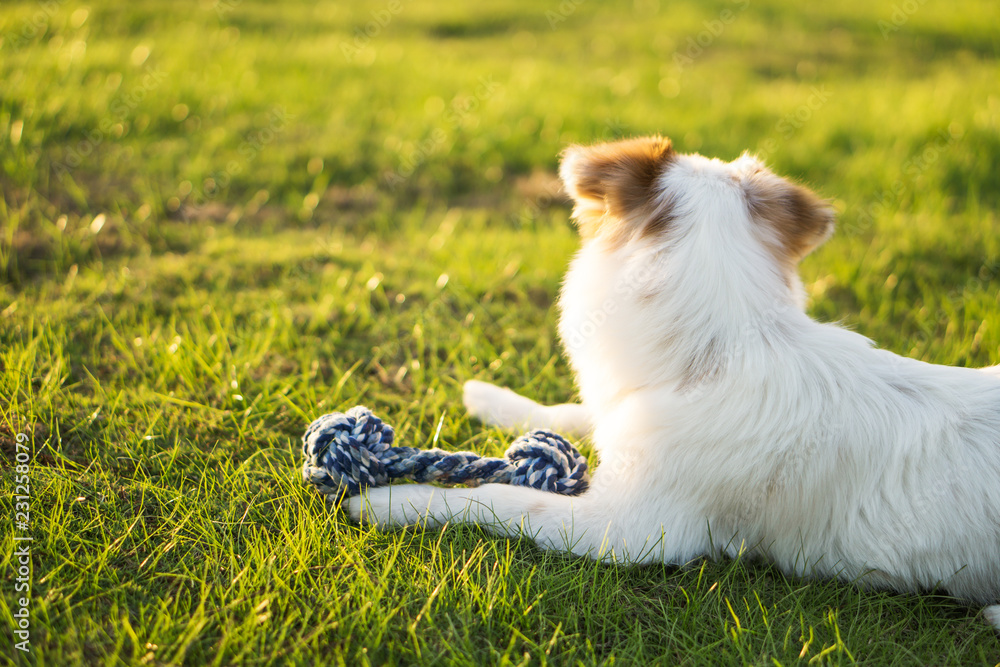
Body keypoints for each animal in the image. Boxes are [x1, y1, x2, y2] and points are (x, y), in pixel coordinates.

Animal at [350, 137, 1000, 632]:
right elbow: (572, 411)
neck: (715, 353)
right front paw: (490, 398)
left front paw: (388, 500)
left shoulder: (628, 530)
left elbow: (497, 499)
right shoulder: (625, 421)